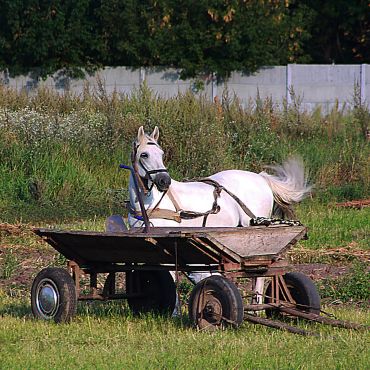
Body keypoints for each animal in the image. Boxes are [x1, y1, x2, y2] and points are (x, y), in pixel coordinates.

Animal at [129, 126, 310, 298]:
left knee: (260, 275)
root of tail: (261, 178)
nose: (164, 181)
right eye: (144, 154)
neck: (149, 205)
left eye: (161, 154)